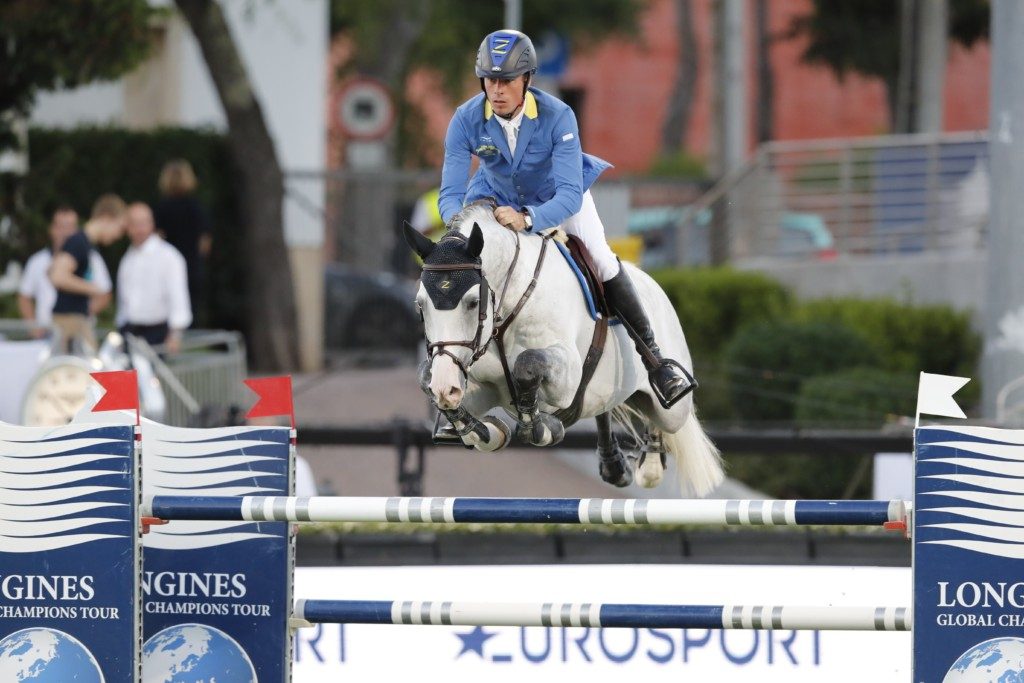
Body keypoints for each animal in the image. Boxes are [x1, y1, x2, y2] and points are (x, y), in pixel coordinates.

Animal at [403, 200, 724, 493]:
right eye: (420, 306)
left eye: (472, 302)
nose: (446, 386)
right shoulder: (480, 386)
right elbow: (426, 378)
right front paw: (483, 430)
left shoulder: (566, 377)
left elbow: (528, 365)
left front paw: (541, 427)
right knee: (605, 409)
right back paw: (614, 464)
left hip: (672, 410)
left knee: (665, 419)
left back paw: (656, 442)